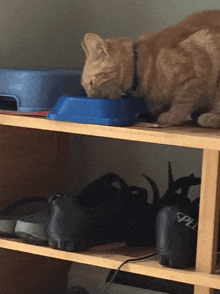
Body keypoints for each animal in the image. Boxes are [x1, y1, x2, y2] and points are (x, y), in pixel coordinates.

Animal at [81, 10, 220, 127]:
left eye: (91, 83)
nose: (91, 98)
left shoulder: (198, 72)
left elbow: (183, 99)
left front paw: (173, 115)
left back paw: (210, 117)